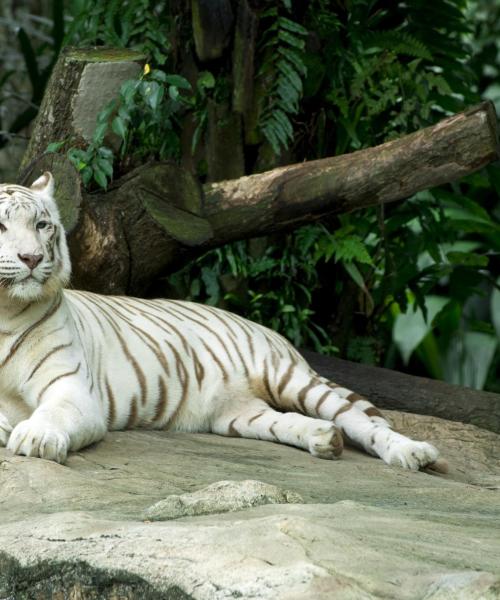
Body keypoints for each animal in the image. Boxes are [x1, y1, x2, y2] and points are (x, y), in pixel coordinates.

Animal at [0, 171, 442, 472]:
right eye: (3, 226)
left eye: (42, 225)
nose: (32, 258)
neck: (5, 312)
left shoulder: (73, 390)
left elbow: (53, 413)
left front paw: (36, 436)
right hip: (238, 415)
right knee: (289, 422)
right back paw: (323, 439)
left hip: (288, 377)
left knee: (360, 419)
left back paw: (411, 452)